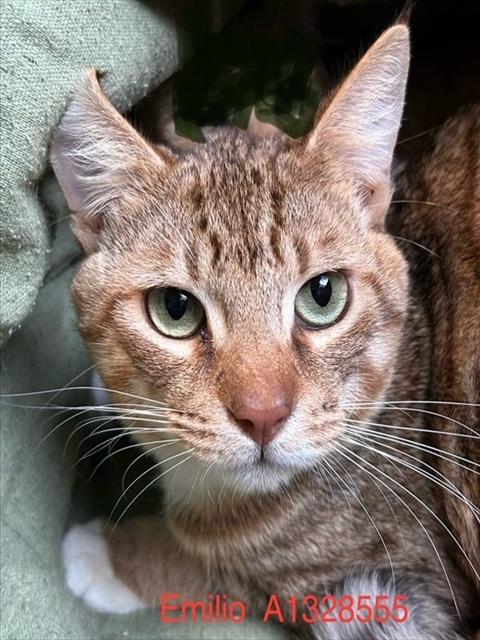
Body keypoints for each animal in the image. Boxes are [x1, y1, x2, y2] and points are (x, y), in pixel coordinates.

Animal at [50, 23, 478, 640]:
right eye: (175, 309)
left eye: (323, 295)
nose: (263, 415)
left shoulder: (404, 588)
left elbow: (223, 566)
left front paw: (116, 555)